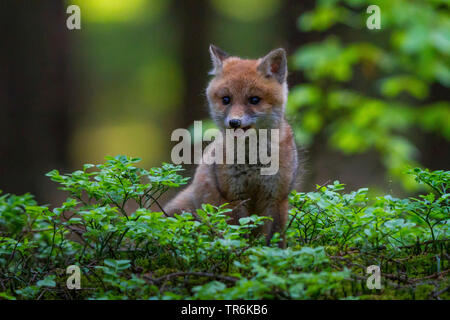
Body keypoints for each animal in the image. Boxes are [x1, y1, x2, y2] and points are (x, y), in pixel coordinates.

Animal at [165, 44, 298, 248]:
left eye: (254, 100)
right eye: (226, 100)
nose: (234, 122)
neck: (253, 161)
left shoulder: (276, 196)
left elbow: (275, 239)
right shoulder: (233, 196)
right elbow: (237, 233)